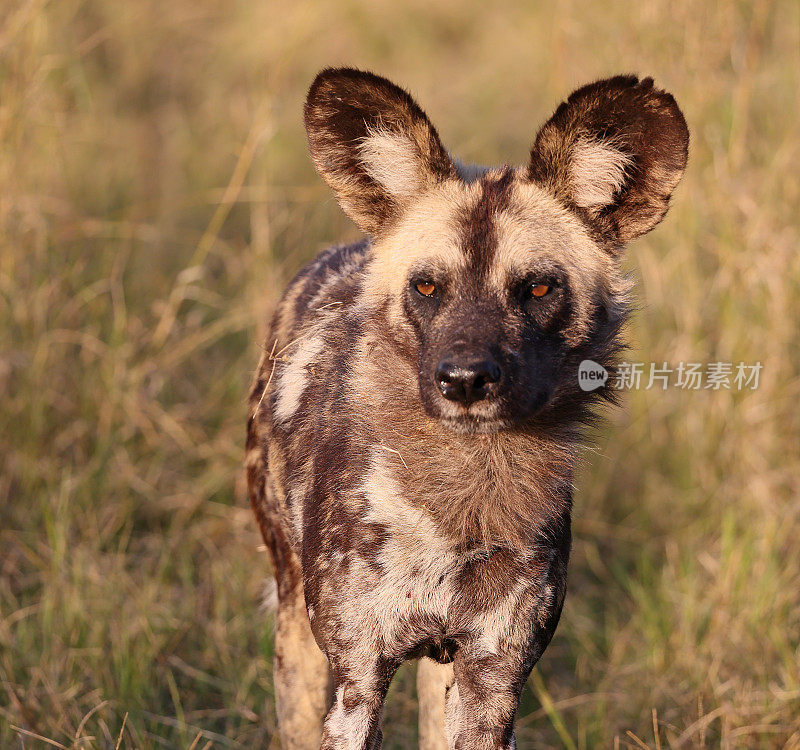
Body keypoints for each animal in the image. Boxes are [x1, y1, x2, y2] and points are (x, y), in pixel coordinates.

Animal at [245, 67, 688, 748]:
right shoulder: (357, 679)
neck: (457, 505)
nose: (464, 379)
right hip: (299, 637)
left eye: (538, 287)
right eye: (428, 286)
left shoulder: (493, 682)